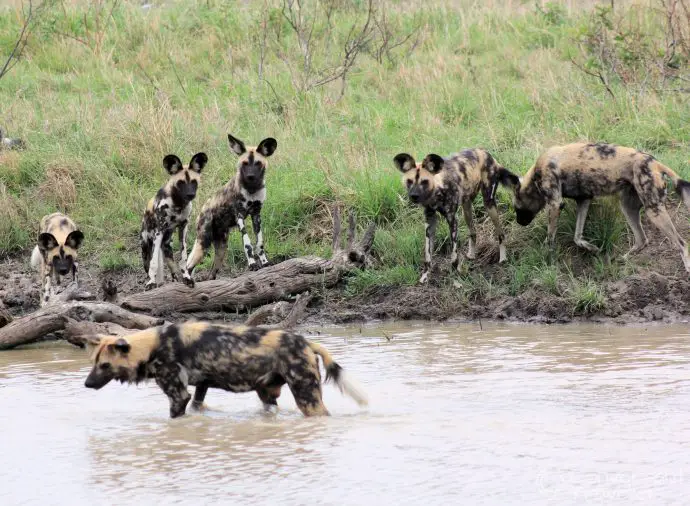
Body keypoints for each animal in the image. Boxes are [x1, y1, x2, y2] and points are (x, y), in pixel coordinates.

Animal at [83, 320, 368, 420]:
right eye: (94, 363)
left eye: (105, 365)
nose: (87, 384)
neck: (154, 345)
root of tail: (307, 342)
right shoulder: (201, 386)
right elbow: (198, 405)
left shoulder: (178, 395)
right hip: (267, 393)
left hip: (307, 399)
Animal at [138, 152, 206, 290]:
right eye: (181, 183)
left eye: (194, 182)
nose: (190, 195)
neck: (178, 204)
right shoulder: (159, 231)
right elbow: (154, 263)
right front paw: (151, 282)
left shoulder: (183, 228)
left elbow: (183, 258)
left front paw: (186, 277)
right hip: (146, 246)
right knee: (149, 265)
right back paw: (152, 281)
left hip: (167, 246)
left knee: (172, 268)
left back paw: (175, 280)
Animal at [183, 133, 280, 288]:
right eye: (245, 163)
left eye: (258, 163)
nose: (251, 176)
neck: (252, 188)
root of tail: (202, 211)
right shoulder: (239, 215)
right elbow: (247, 244)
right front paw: (253, 264)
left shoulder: (256, 215)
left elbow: (259, 243)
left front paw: (265, 263)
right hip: (203, 243)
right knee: (188, 266)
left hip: (222, 249)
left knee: (211, 274)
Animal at [392, 150, 516, 284]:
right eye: (409, 181)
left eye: (424, 182)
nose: (414, 196)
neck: (437, 190)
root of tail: (487, 153)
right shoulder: (429, 222)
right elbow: (428, 255)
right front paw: (425, 276)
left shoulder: (452, 220)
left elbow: (454, 254)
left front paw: (456, 275)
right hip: (466, 208)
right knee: (473, 232)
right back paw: (471, 255)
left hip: (489, 204)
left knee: (501, 233)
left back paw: (503, 258)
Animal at [510, 141, 690, 272]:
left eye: (516, 208)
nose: (519, 222)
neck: (535, 174)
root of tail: (656, 163)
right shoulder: (584, 199)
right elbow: (577, 237)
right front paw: (593, 249)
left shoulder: (555, 204)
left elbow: (550, 239)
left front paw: (548, 260)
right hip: (628, 207)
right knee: (642, 240)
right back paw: (621, 259)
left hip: (654, 211)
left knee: (682, 243)